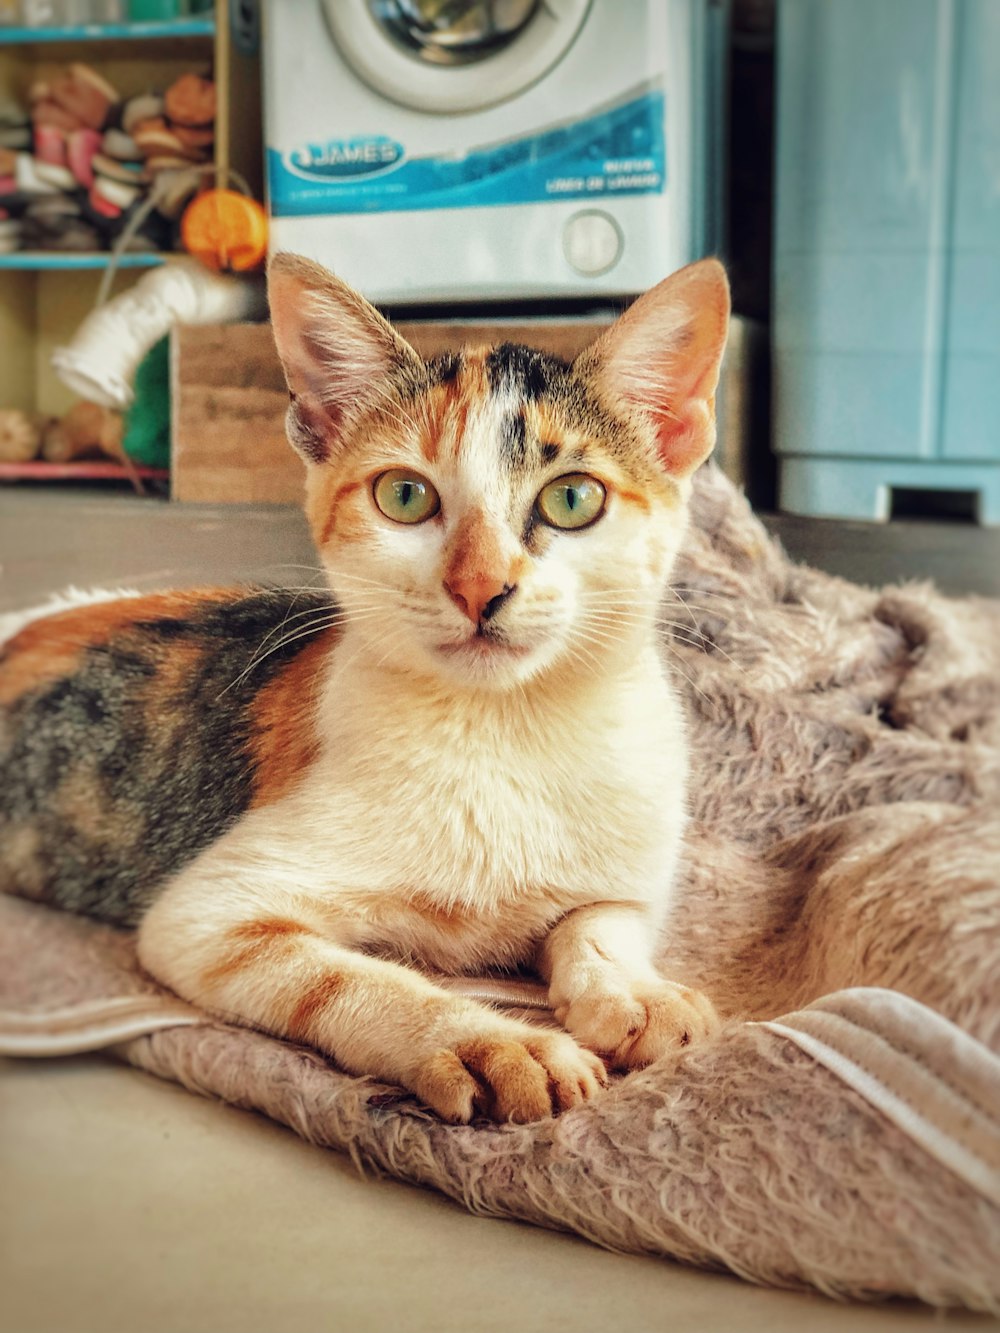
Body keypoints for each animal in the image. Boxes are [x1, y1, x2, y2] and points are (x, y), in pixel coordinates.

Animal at [3, 251, 730, 1125]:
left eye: (573, 498)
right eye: (405, 495)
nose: (480, 586)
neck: (502, 728)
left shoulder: (630, 873)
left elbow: (600, 921)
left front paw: (636, 992)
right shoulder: (204, 913)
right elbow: (345, 975)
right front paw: (489, 1042)